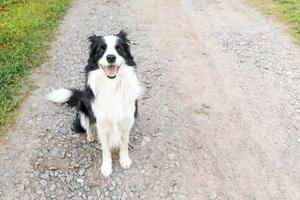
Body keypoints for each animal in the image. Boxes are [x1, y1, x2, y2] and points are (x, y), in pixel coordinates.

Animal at [46, 30, 142, 177]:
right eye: (101, 49)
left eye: (119, 48)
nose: (111, 57)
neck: (112, 85)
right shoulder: (101, 124)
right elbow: (105, 149)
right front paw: (106, 167)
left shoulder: (127, 120)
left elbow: (124, 143)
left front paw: (125, 160)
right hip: (83, 111)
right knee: (87, 126)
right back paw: (90, 136)